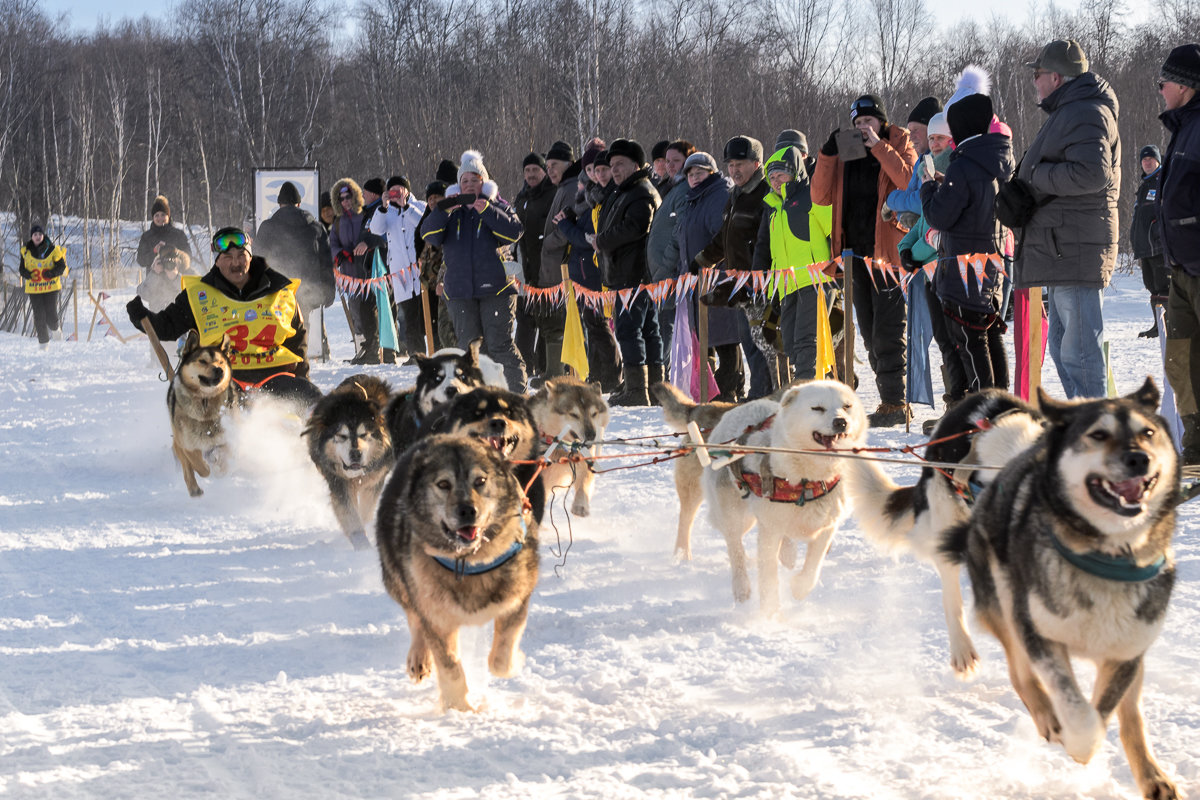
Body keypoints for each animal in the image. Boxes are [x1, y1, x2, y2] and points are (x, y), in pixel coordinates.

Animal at [304, 376, 393, 551]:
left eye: (364, 434)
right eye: (342, 436)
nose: (356, 454)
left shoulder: (374, 481)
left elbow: (366, 511)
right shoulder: (339, 482)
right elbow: (351, 515)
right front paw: (362, 546)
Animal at [700, 379, 868, 618]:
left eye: (847, 406)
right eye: (817, 408)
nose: (841, 422)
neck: (809, 480)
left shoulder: (826, 526)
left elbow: (813, 566)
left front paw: (799, 587)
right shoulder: (769, 530)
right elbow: (768, 577)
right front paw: (769, 614)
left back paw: (788, 553)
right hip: (735, 515)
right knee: (735, 548)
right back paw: (742, 587)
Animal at [940, 381, 1176, 800]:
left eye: (1148, 432)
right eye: (1097, 435)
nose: (1139, 458)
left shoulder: (1127, 651)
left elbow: (1106, 710)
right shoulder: (1037, 634)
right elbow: (1078, 712)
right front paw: (1078, 743)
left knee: (1130, 716)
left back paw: (1152, 776)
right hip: (1006, 605)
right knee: (1020, 673)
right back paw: (1048, 718)